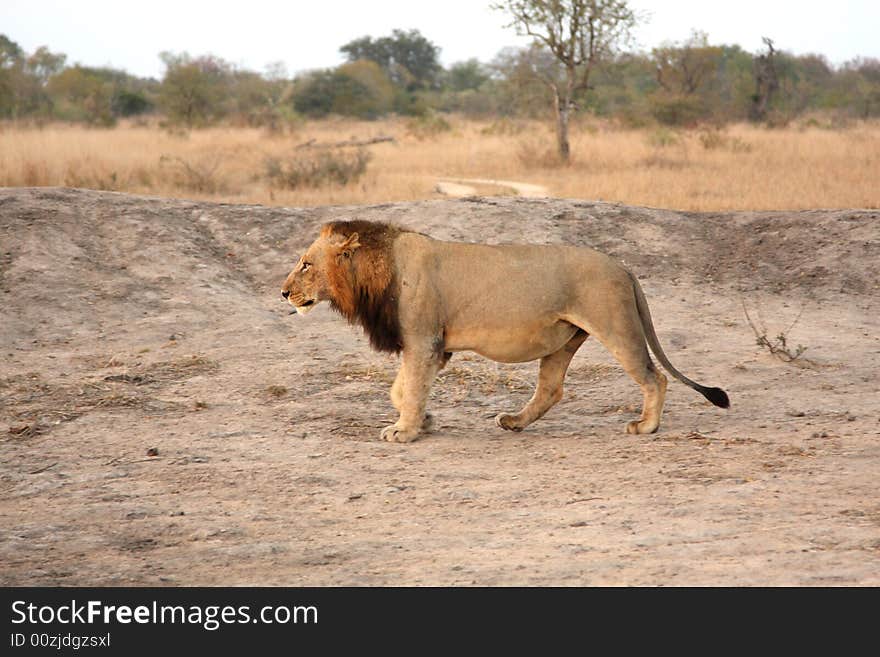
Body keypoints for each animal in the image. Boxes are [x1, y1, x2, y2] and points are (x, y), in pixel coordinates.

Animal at [284, 219, 728, 440]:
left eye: (306, 264)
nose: (284, 292)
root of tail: (624, 267)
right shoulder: (434, 348)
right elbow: (402, 388)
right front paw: (423, 421)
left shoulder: (424, 341)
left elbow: (408, 388)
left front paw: (404, 432)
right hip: (565, 339)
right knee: (551, 390)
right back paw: (513, 422)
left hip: (616, 326)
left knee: (654, 377)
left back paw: (646, 426)